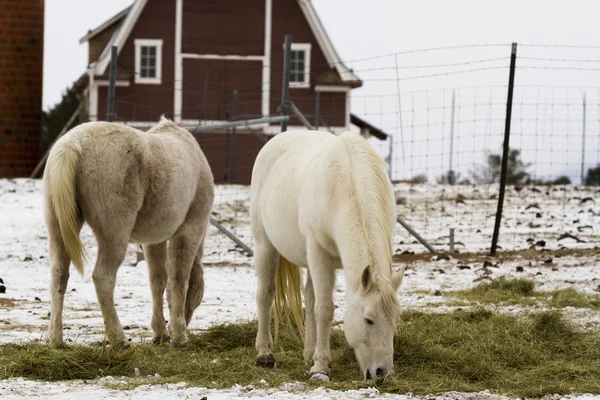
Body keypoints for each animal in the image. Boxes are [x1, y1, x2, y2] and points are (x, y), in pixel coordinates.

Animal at [44, 117, 213, 348]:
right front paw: (179, 336)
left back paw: (57, 340)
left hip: (58, 230)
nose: (186, 322)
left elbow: (157, 281)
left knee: (59, 275)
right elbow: (178, 280)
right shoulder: (189, 232)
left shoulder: (153, 241)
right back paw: (119, 339)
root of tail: (73, 143)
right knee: (103, 278)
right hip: (114, 235)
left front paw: (161, 333)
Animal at [251, 130, 406, 380]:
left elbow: (316, 305)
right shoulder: (319, 255)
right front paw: (321, 367)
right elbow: (324, 309)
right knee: (265, 295)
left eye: (395, 320)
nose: (382, 373)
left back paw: (308, 354)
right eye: (368, 320)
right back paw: (264, 353)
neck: (346, 185)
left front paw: (316, 360)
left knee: (309, 296)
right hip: (265, 246)